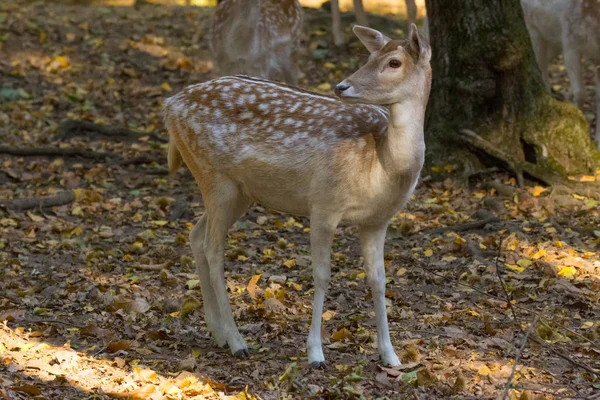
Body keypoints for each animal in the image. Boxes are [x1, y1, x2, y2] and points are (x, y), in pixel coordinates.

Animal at [164, 25, 432, 368]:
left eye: (394, 62)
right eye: (370, 56)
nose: (342, 86)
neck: (381, 167)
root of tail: (170, 105)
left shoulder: (377, 221)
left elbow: (379, 279)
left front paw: (390, 355)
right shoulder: (323, 204)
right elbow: (321, 275)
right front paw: (315, 353)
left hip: (239, 191)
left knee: (196, 237)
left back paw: (219, 334)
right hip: (214, 176)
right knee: (213, 250)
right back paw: (237, 342)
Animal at [520, 0, 600, 147]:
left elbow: (598, 97)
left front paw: (598, 140)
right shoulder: (569, 41)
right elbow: (580, 93)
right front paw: (580, 131)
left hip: (553, 42)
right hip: (533, 30)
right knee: (541, 70)